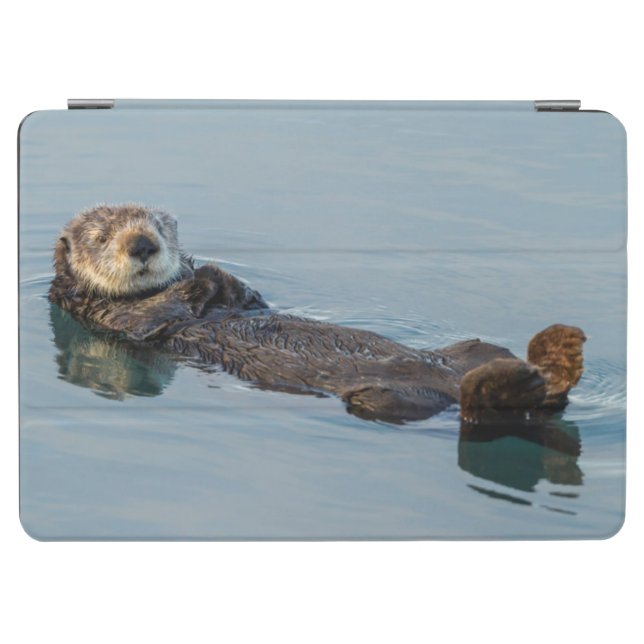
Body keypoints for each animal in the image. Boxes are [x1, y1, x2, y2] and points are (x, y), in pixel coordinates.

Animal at [48, 204, 586, 424]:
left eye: (158, 226)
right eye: (102, 237)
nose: (143, 244)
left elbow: (246, 298)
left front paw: (213, 273)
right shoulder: (113, 319)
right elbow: (158, 314)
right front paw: (200, 279)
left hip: (473, 349)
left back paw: (558, 355)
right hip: (386, 402)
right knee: (482, 407)